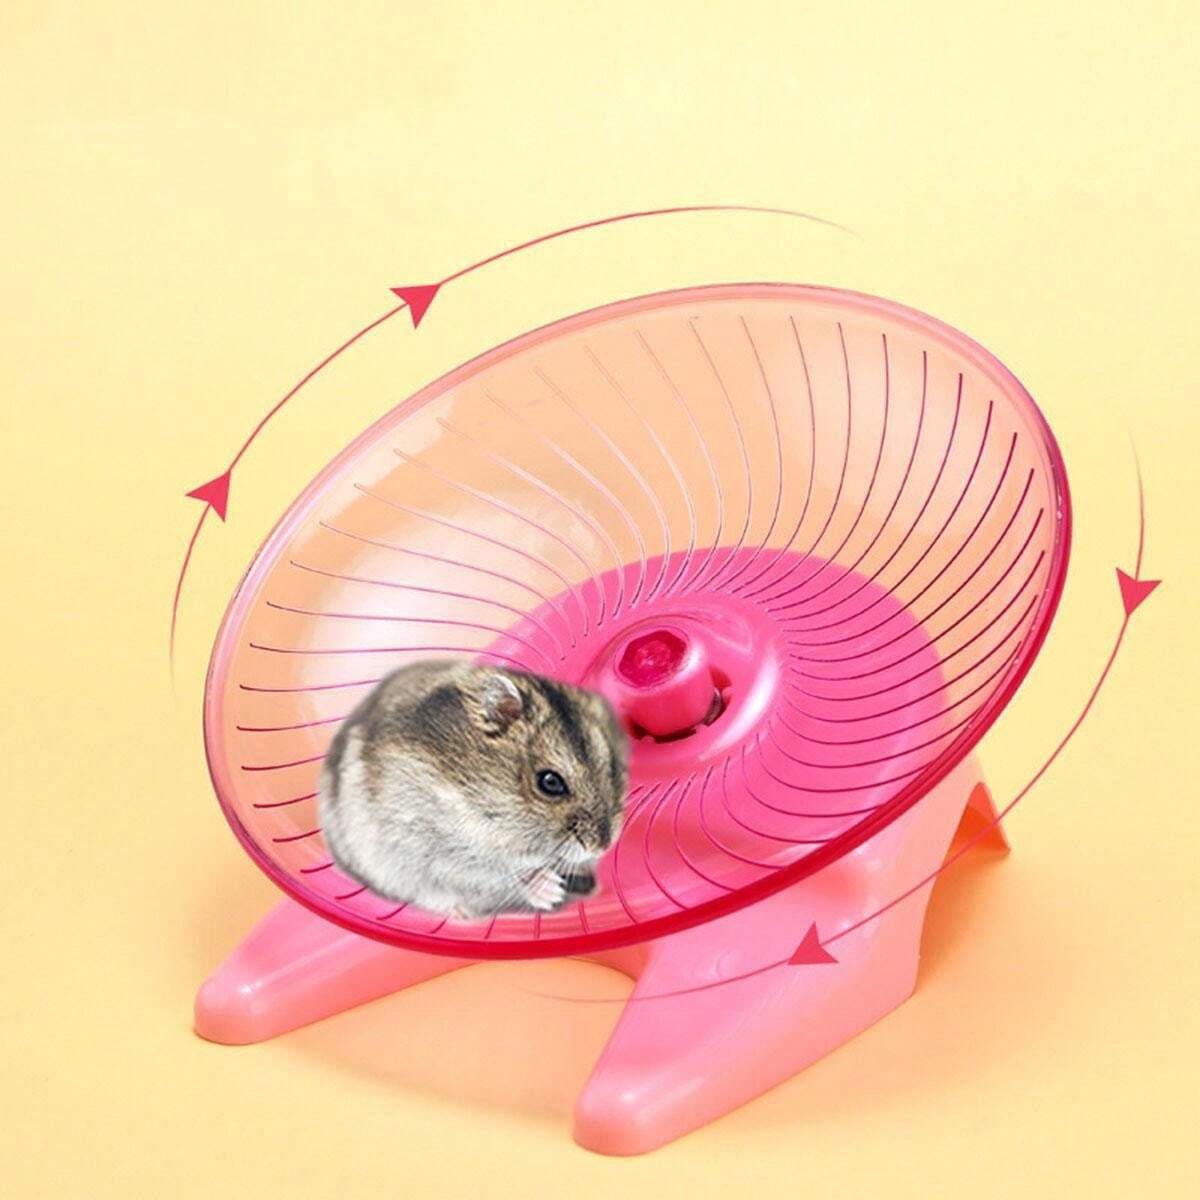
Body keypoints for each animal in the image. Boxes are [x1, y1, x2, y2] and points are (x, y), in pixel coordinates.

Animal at [317, 660, 630, 918]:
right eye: (550, 782)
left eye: (613, 768)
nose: (602, 845)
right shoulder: (440, 849)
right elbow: (502, 873)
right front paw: (551, 889)